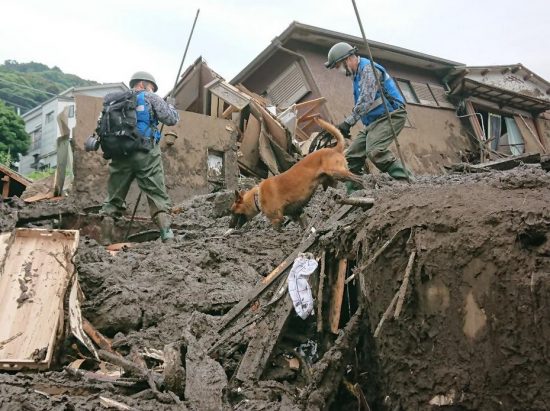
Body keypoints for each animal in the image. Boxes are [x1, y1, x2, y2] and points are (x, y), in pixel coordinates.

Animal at [231, 117, 364, 230]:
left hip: (338, 173)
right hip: (332, 181)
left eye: (233, 212)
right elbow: (303, 226)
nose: (229, 226)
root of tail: (334, 149)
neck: (257, 195)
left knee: (359, 179)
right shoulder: (297, 213)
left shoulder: (277, 220)